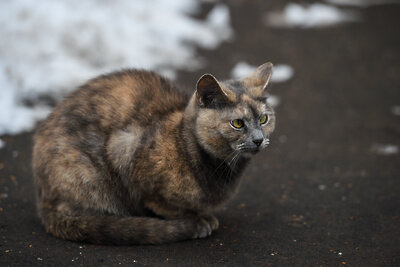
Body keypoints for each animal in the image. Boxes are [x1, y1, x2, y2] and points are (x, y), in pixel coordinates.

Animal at [32, 62, 276, 245]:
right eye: (238, 123)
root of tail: (42, 195)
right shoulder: (129, 153)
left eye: (264, 119)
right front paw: (198, 221)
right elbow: (166, 207)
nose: (258, 139)